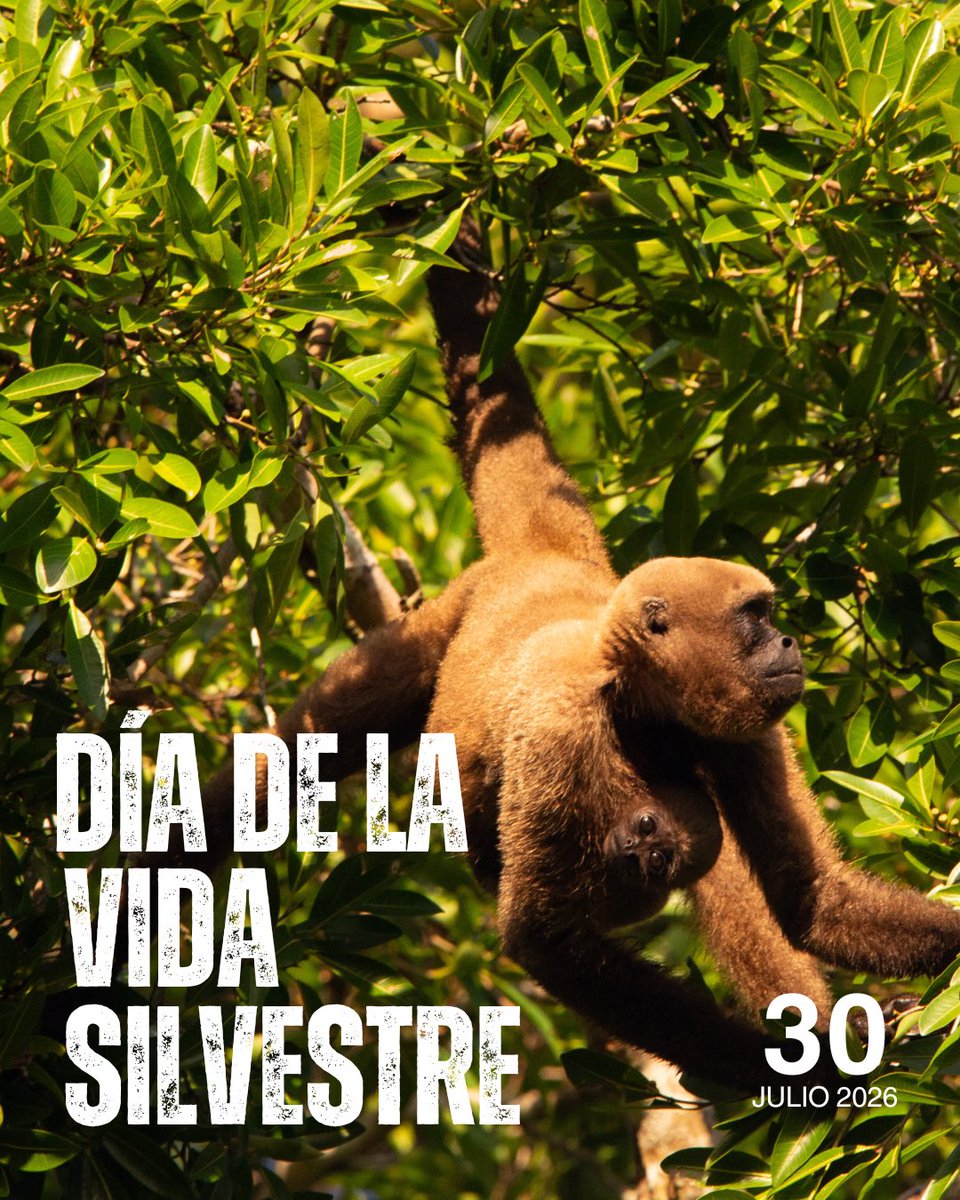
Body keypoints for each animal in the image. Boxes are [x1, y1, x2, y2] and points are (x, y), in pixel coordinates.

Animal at [192, 216, 960, 1096]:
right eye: (755, 617)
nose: (790, 641)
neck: (640, 700)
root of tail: (550, 563)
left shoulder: (746, 729)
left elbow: (809, 895)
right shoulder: (561, 729)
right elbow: (543, 937)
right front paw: (789, 1065)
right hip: (438, 625)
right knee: (287, 761)